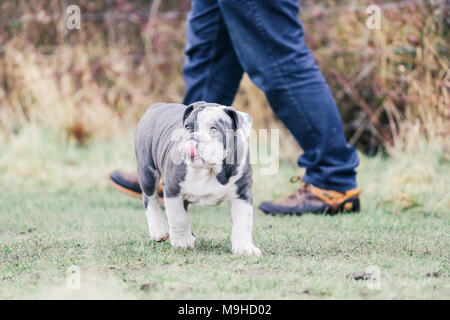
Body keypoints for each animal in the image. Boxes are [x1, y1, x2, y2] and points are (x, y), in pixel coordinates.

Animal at [134, 101, 260, 256]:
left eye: (214, 130)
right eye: (188, 127)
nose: (193, 138)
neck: (209, 170)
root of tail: (157, 105)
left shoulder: (241, 194)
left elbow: (243, 223)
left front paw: (245, 248)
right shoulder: (173, 190)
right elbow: (178, 218)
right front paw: (182, 242)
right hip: (147, 171)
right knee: (150, 198)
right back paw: (160, 231)